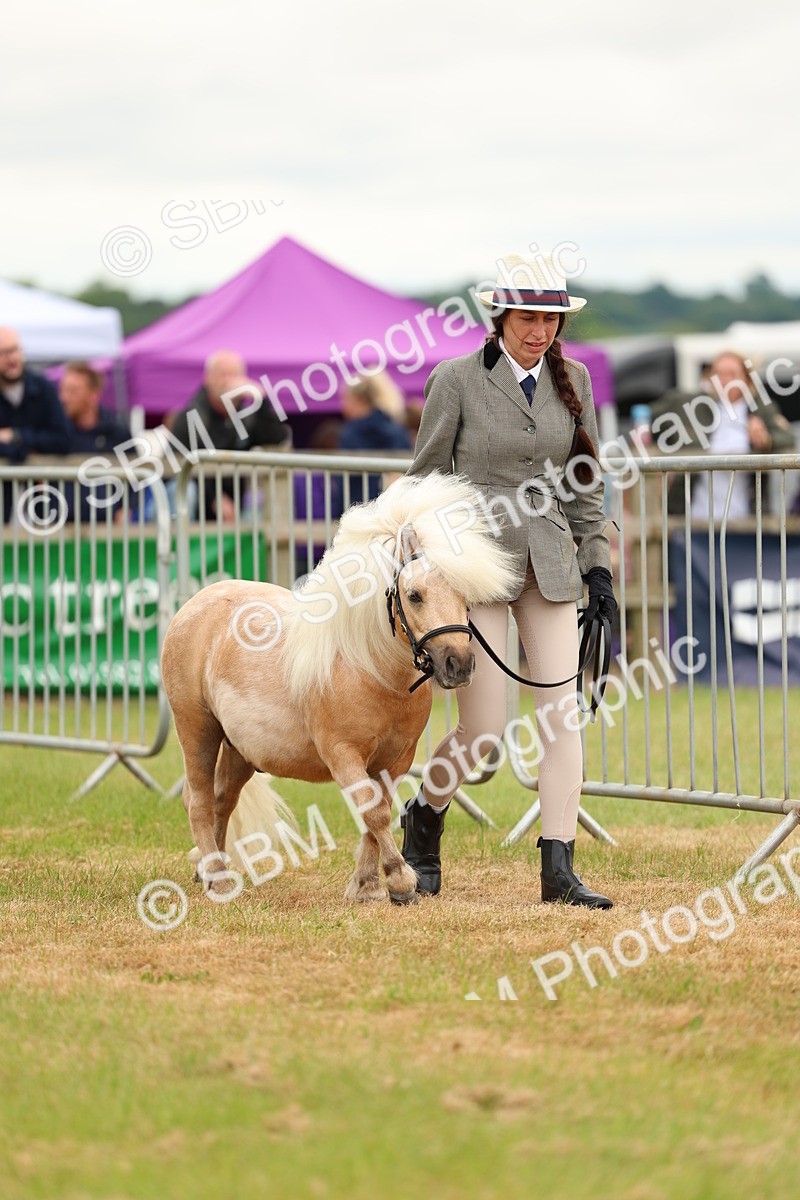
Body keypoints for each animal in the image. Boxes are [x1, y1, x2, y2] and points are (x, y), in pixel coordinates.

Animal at [161, 471, 519, 905]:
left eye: (466, 599)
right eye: (415, 595)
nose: (459, 664)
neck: (373, 673)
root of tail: (194, 605)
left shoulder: (396, 759)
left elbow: (377, 812)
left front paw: (367, 886)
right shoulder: (343, 754)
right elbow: (373, 811)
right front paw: (400, 880)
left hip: (238, 750)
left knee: (221, 801)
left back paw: (209, 870)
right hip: (196, 728)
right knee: (197, 800)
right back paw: (220, 880)